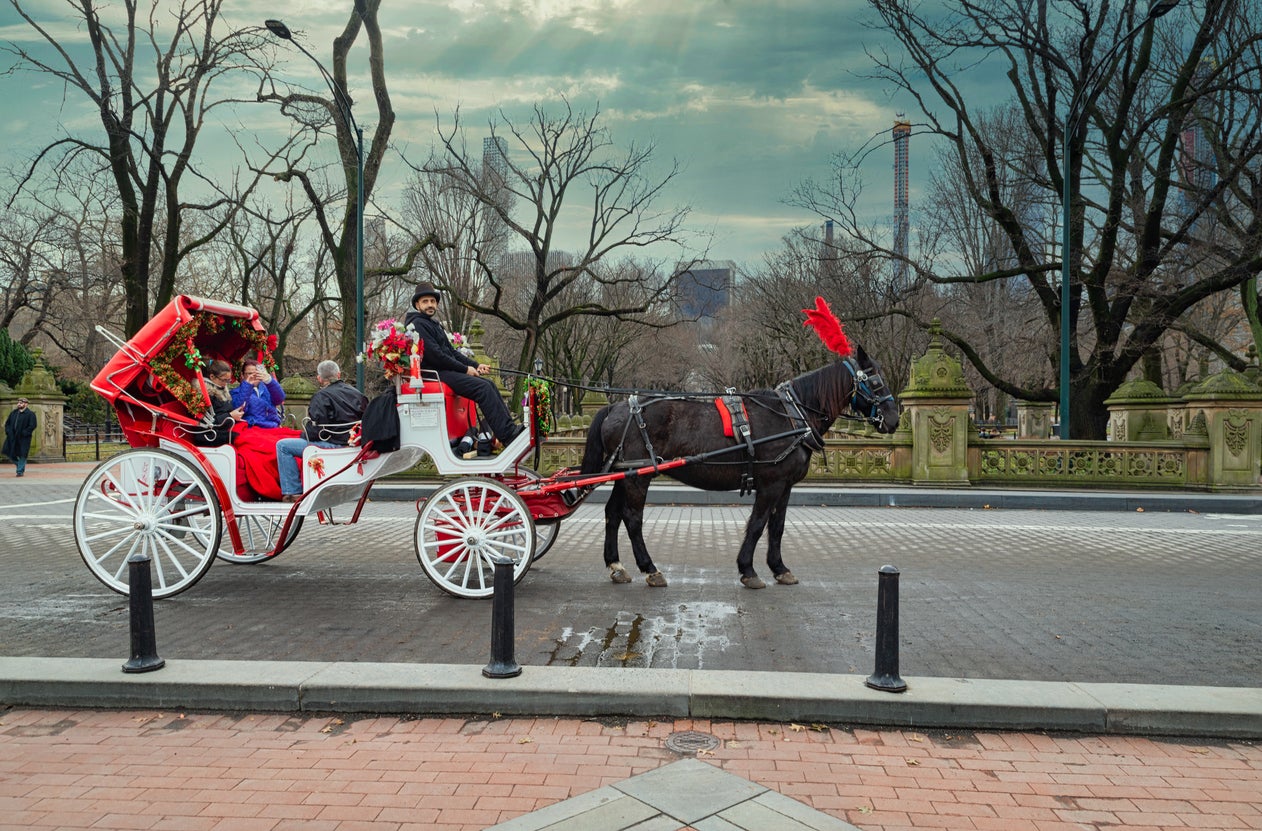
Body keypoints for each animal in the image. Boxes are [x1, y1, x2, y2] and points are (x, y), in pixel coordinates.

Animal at [580, 343, 898, 588]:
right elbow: (757, 524)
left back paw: (616, 565)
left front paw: (779, 568)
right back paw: (650, 568)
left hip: (625, 473)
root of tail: (616, 406)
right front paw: (748, 569)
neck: (792, 414)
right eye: (875, 380)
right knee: (632, 518)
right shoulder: (771, 484)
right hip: (638, 477)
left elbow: (777, 526)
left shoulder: (785, 486)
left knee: (612, 513)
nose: (894, 419)